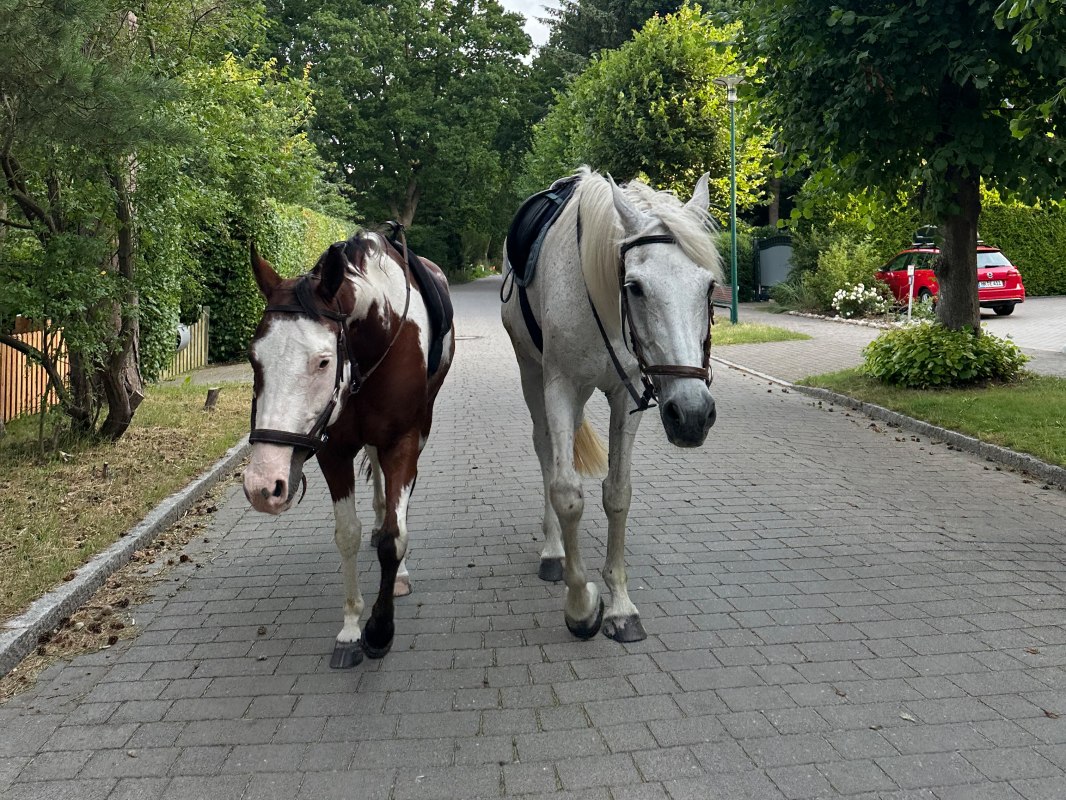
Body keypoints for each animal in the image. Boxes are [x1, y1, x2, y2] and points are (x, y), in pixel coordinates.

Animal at [242, 229, 454, 668]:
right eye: (254, 359)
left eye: (323, 362)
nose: (262, 485)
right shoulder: (333, 450)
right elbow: (347, 535)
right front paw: (352, 627)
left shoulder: (403, 441)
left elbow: (395, 536)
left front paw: (379, 629)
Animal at [501, 167, 722, 643]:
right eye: (634, 288)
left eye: (709, 287)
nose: (692, 415)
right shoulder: (560, 386)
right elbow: (567, 493)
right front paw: (582, 606)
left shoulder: (628, 393)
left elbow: (618, 493)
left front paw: (620, 606)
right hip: (532, 373)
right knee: (545, 449)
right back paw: (554, 551)